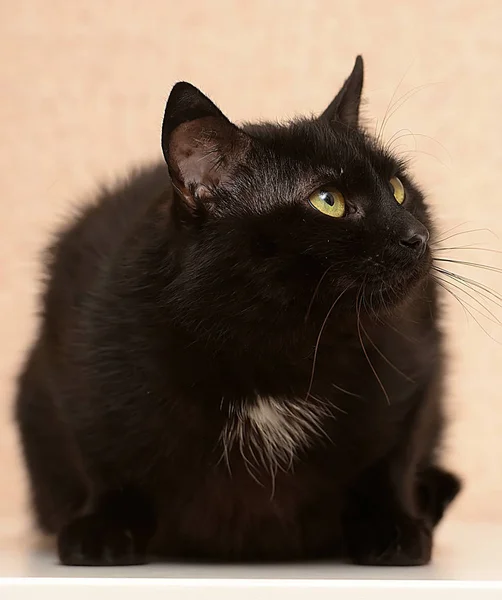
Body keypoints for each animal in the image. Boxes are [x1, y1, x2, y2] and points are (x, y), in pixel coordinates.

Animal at [15, 56, 460, 568]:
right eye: (328, 201)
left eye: (398, 188)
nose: (415, 237)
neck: (279, 344)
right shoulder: (79, 354)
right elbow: (102, 454)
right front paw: (103, 529)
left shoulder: (416, 358)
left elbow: (393, 456)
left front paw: (393, 525)